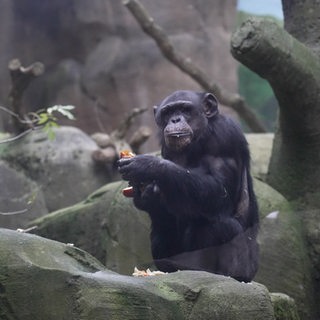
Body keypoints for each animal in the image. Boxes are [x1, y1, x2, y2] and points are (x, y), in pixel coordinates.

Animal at [119, 89, 258, 280]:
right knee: (160, 231)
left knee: (217, 226)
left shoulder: (225, 137)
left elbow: (219, 190)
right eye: (168, 112)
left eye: (185, 109)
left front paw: (148, 165)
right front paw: (146, 194)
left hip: (244, 268)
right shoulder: (167, 148)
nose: (175, 120)